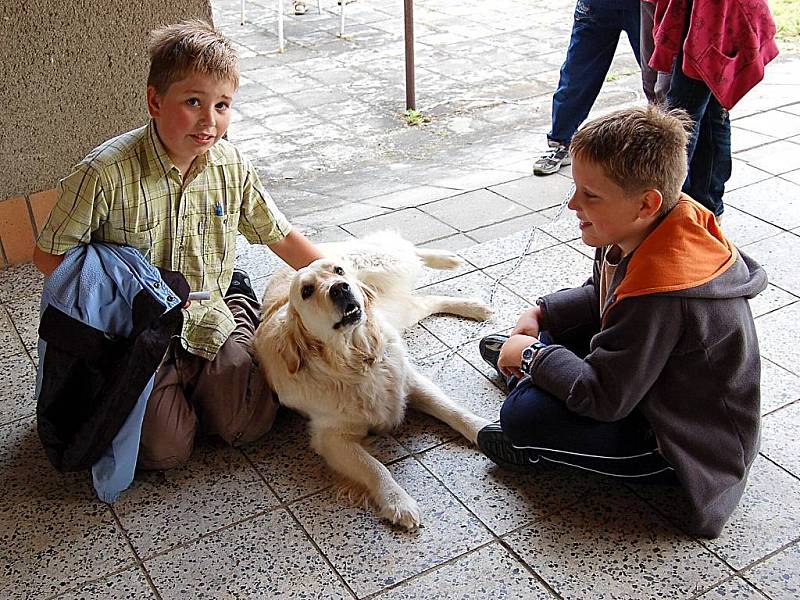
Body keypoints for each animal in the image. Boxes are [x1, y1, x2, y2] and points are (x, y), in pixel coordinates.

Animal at [255, 232, 494, 528]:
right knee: (424, 298)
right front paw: (398, 501)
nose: (340, 288)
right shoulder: (331, 437)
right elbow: (374, 466)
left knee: (405, 252)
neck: (358, 360)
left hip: (382, 269)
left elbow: (453, 411)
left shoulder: (408, 383)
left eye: (338, 271)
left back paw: (451, 268)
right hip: (401, 309)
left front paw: (484, 427)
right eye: (307, 291)